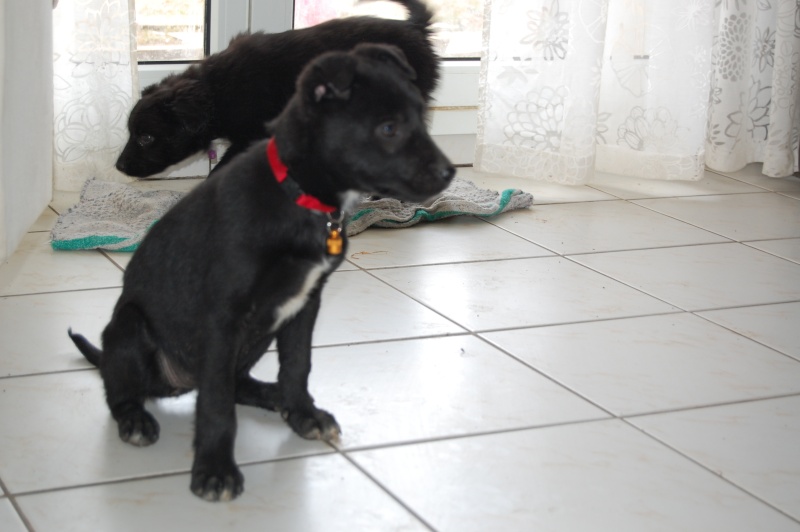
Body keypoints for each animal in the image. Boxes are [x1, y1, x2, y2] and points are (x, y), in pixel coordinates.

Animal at [68, 42, 454, 502]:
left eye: (419, 118)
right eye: (389, 128)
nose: (449, 173)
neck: (298, 197)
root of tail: (173, 383)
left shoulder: (303, 305)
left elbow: (297, 366)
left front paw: (302, 413)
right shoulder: (224, 317)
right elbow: (217, 404)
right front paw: (214, 470)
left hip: (259, 335)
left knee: (237, 382)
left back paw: (273, 396)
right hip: (129, 327)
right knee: (122, 390)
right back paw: (135, 420)